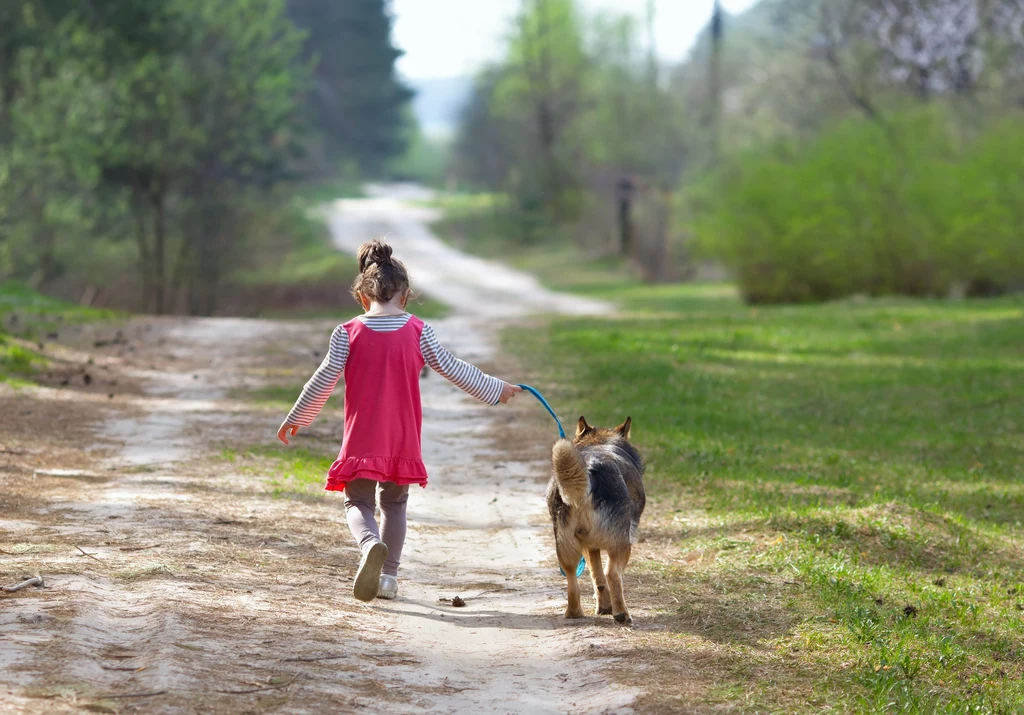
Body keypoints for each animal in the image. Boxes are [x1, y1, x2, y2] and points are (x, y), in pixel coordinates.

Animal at [548, 415, 643, 622]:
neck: (600, 443)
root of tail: (590, 470)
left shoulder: (590, 547)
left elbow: (596, 577)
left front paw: (604, 605)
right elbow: (610, 576)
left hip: (566, 547)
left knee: (573, 580)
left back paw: (574, 613)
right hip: (621, 543)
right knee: (612, 574)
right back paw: (622, 614)